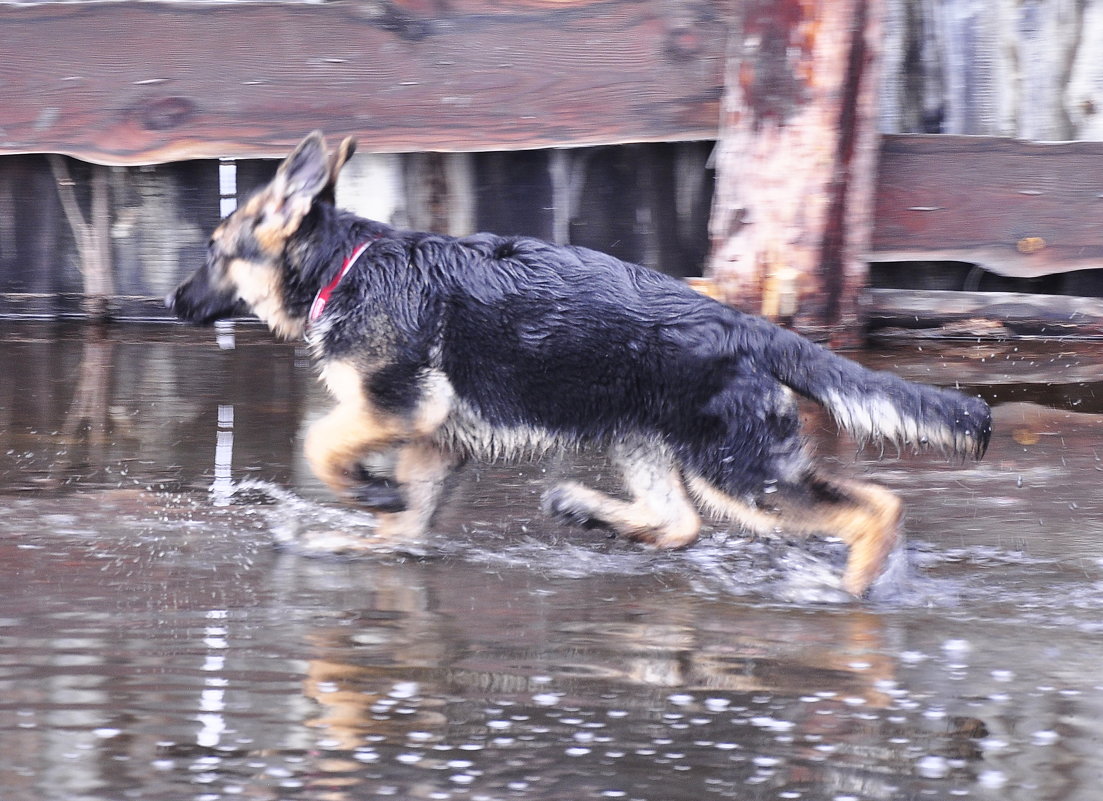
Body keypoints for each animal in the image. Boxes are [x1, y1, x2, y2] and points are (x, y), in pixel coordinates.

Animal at [169, 131, 992, 595]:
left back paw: (855, 588)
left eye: (212, 251)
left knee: (872, 509)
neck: (344, 265)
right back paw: (590, 511)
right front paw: (362, 530)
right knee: (679, 523)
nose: (174, 301)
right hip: (644, 439)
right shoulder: (433, 439)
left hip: (741, 474)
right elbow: (401, 526)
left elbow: (323, 443)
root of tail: (743, 322)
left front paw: (363, 495)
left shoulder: (396, 406)